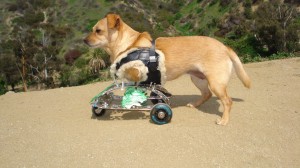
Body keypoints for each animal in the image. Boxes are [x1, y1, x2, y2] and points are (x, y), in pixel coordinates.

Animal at [85, 14, 251, 124]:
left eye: (98, 31)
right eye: (92, 29)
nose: (84, 40)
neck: (128, 44)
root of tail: (224, 47)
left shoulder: (140, 74)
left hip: (215, 82)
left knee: (227, 101)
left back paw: (224, 120)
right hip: (198, 78)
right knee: (207, 94)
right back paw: (194, 104)